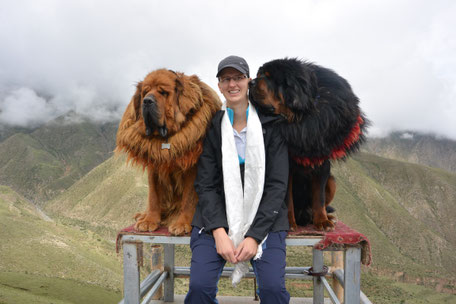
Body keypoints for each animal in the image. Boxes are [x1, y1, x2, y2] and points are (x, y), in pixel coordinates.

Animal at [116, 69, 222, 235]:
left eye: (163, 92)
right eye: (145, 92)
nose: (146, 101)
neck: (165, 138)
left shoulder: (192, 168)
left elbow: (188, 198)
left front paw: (183, 223)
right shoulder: (154, 165)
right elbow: (154, 196)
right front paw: (149, 220)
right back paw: (143, 215)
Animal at [248, 57, 368, 230]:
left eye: (270, 77)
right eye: (259, 75)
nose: (250, 83)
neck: (299, 119)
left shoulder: (321, 165)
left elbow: (319, 198)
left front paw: (322, 221)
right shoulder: (285, 170)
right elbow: (287, 200)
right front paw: (289, 223)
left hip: (332, 182)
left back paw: (325, 217)